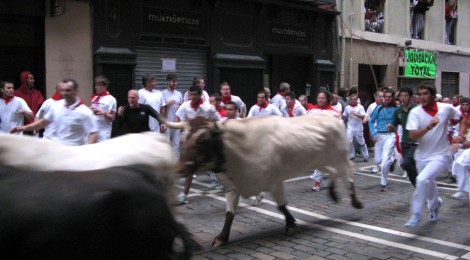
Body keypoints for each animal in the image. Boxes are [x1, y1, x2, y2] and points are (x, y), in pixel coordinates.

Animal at [165, 112, 364, 247]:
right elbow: (229, 214)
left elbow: (282, 206)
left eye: (202, 141)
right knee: (333, 172)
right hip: (321, 161)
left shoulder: (274, 182)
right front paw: (221, 237)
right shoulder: (234, 187)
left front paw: (291, 224)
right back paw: (334, 194)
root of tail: (330, 115)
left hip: (339, 158)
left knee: (348, 175)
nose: (179, 168)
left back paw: (356, 202)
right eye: (184, 138)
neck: (238, 149)